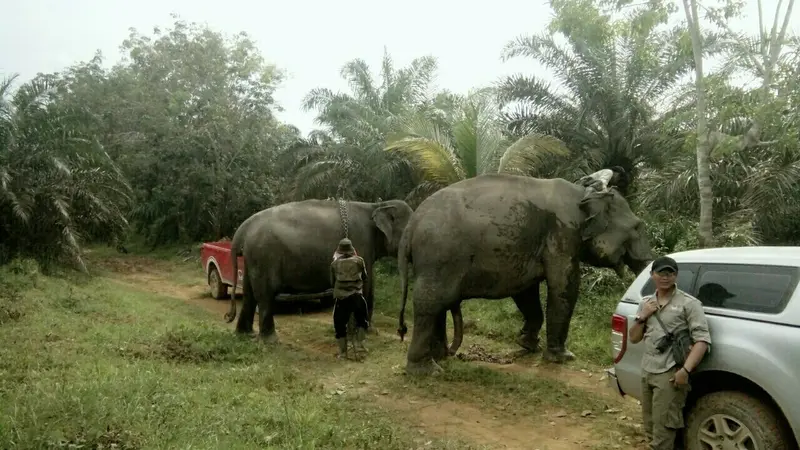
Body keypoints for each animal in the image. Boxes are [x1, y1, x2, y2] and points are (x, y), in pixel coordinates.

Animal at [225, 198, 412, 342]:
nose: (402, 331)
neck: (376, 205)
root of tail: (244, 227)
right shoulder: (361, 243)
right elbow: (364, 285)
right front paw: (361, 333)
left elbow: (369, 285)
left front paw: (370, 331)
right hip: (264, 255)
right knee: (265, 295)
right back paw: (271, 342)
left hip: (252, 258)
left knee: (249, 293)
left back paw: (245, 335)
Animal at [396, 174, 652, 374]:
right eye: (638, 227)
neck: (584, 192)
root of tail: (410, 225)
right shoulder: (563, 234)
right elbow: (564, 286)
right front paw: (563, 357)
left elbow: (526, 291)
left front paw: (527, 345)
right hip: (439, 254)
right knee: (429, 302)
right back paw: (426, 370)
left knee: (439, 303)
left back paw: (439, 356)